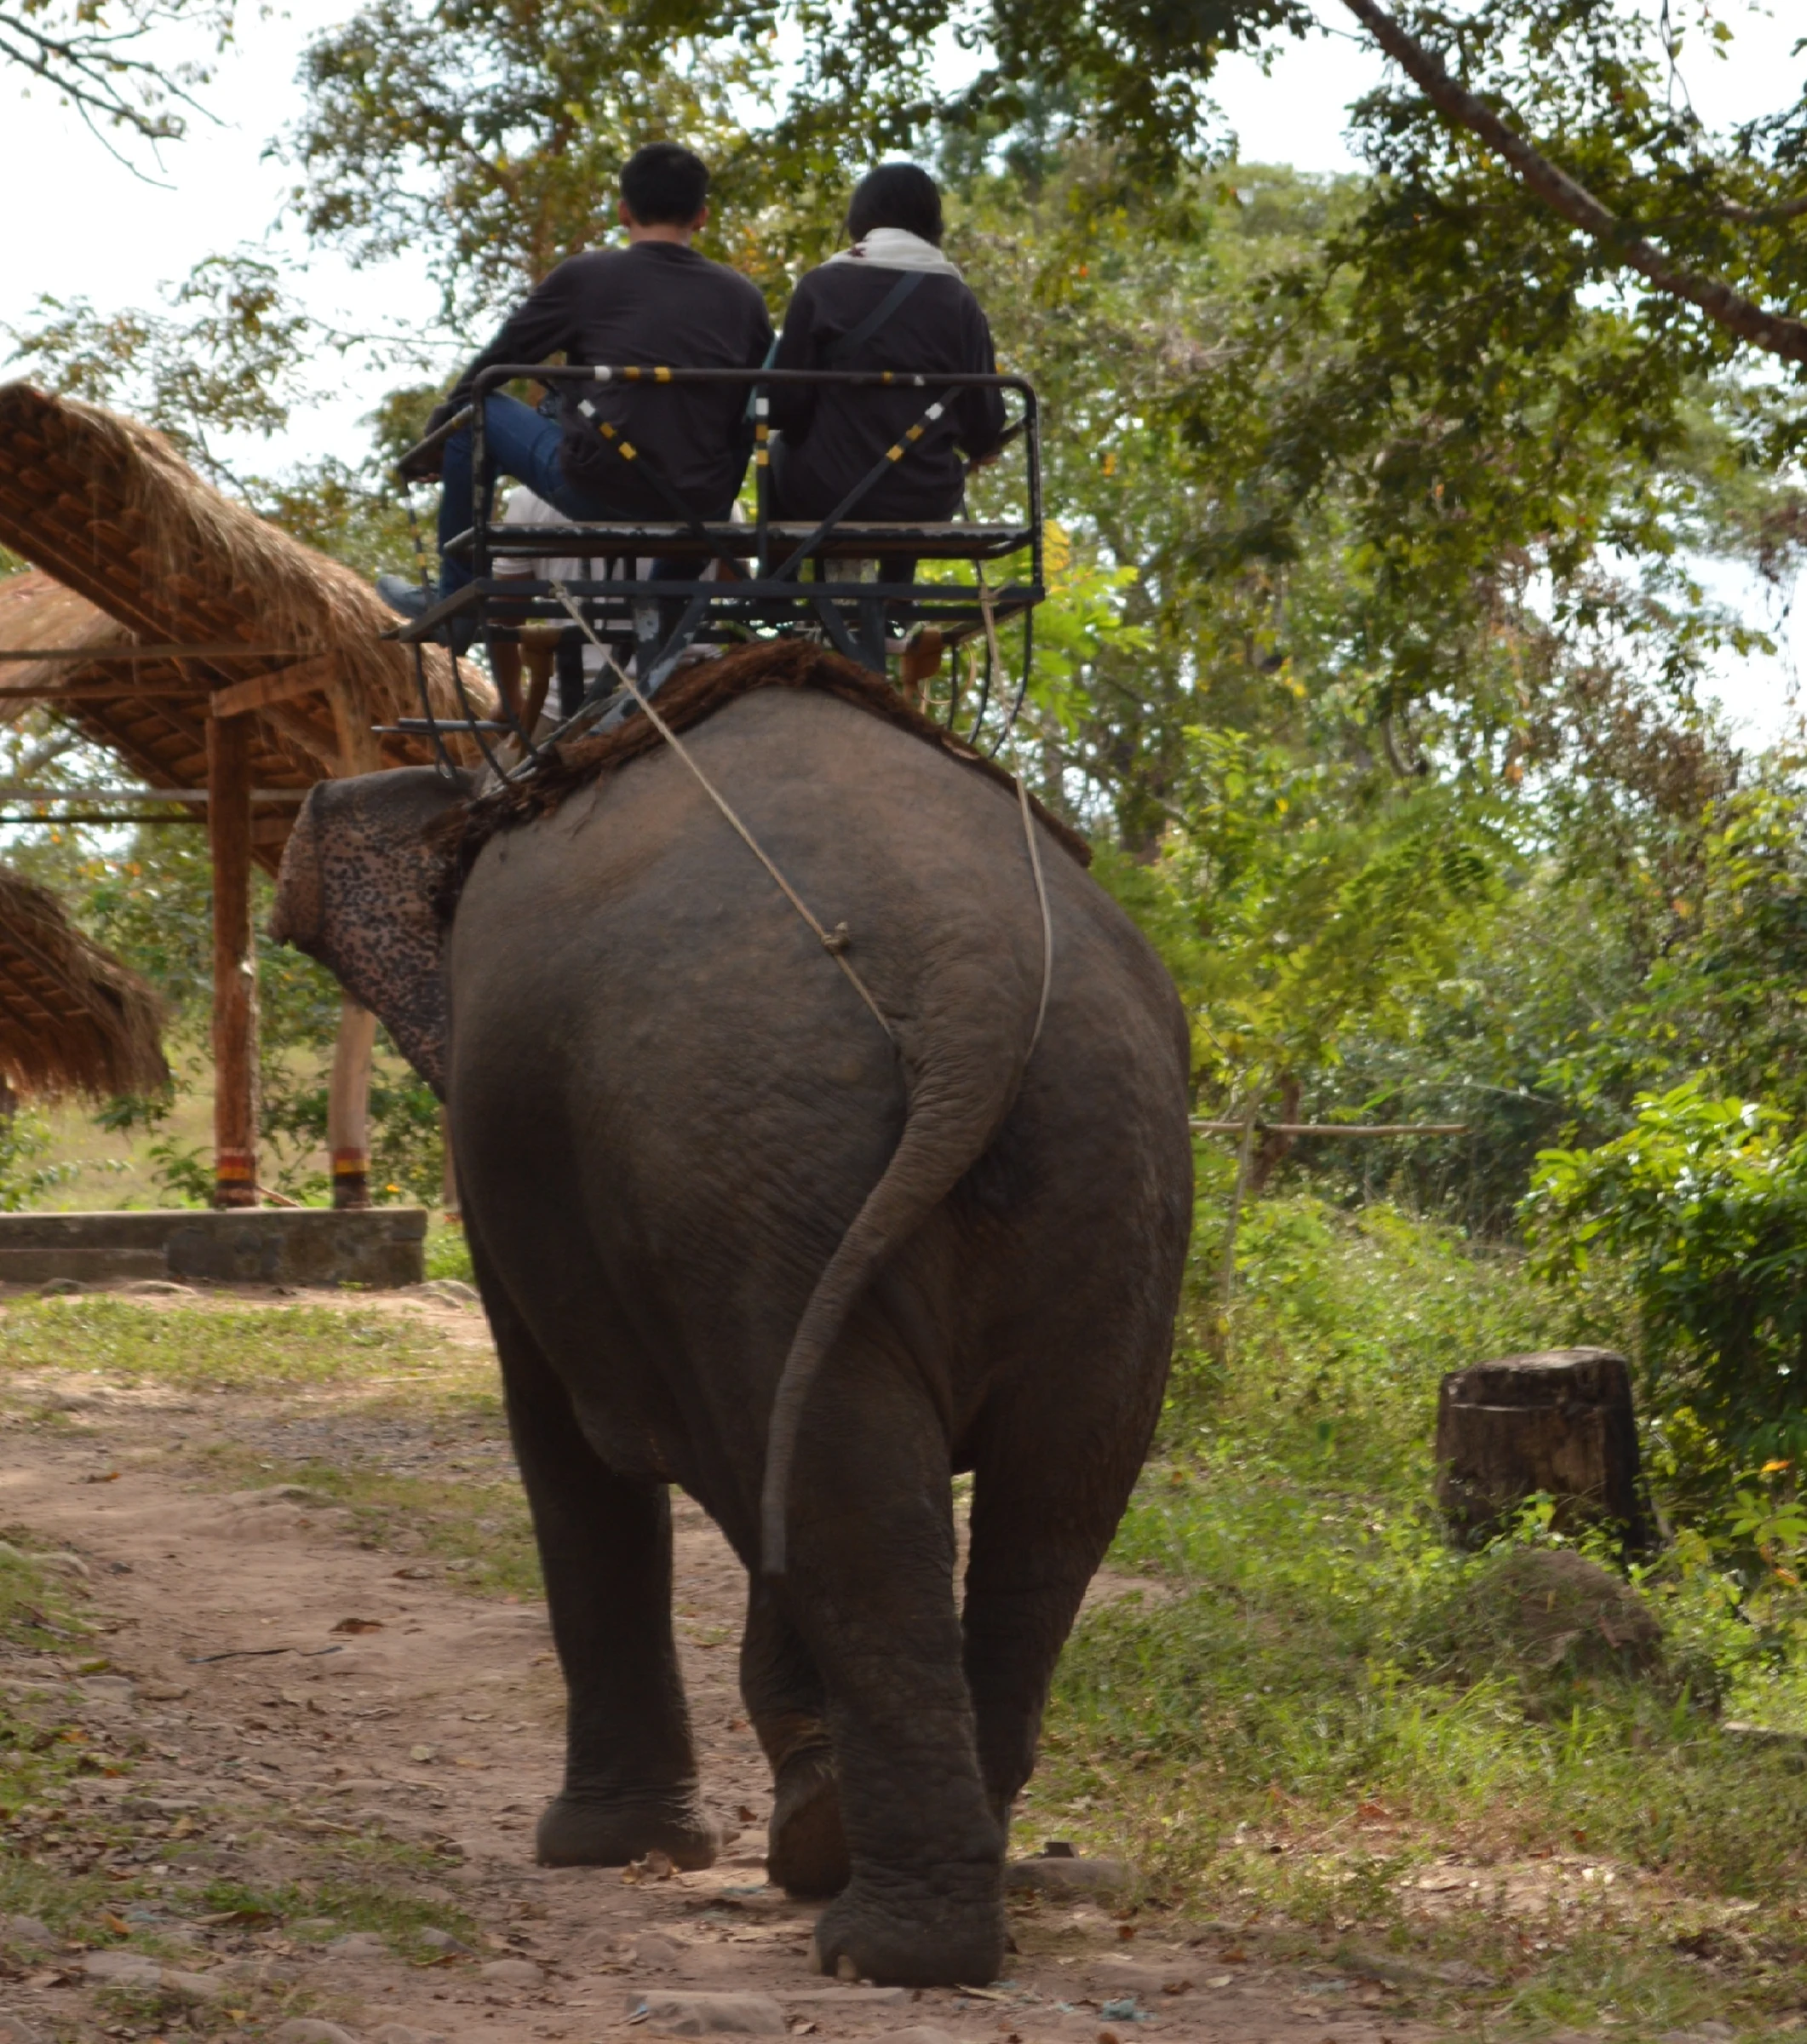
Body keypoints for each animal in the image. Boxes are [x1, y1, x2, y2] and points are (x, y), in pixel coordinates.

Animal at [271, 643, 1193, 1987]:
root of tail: (975, 970)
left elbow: (563, 1438)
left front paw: (600, 1851)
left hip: (759, 1160)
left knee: (838, 1480)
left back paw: (873, 1934)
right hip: (1100, 1165)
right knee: (1041, 1494)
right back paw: (878, 1874)